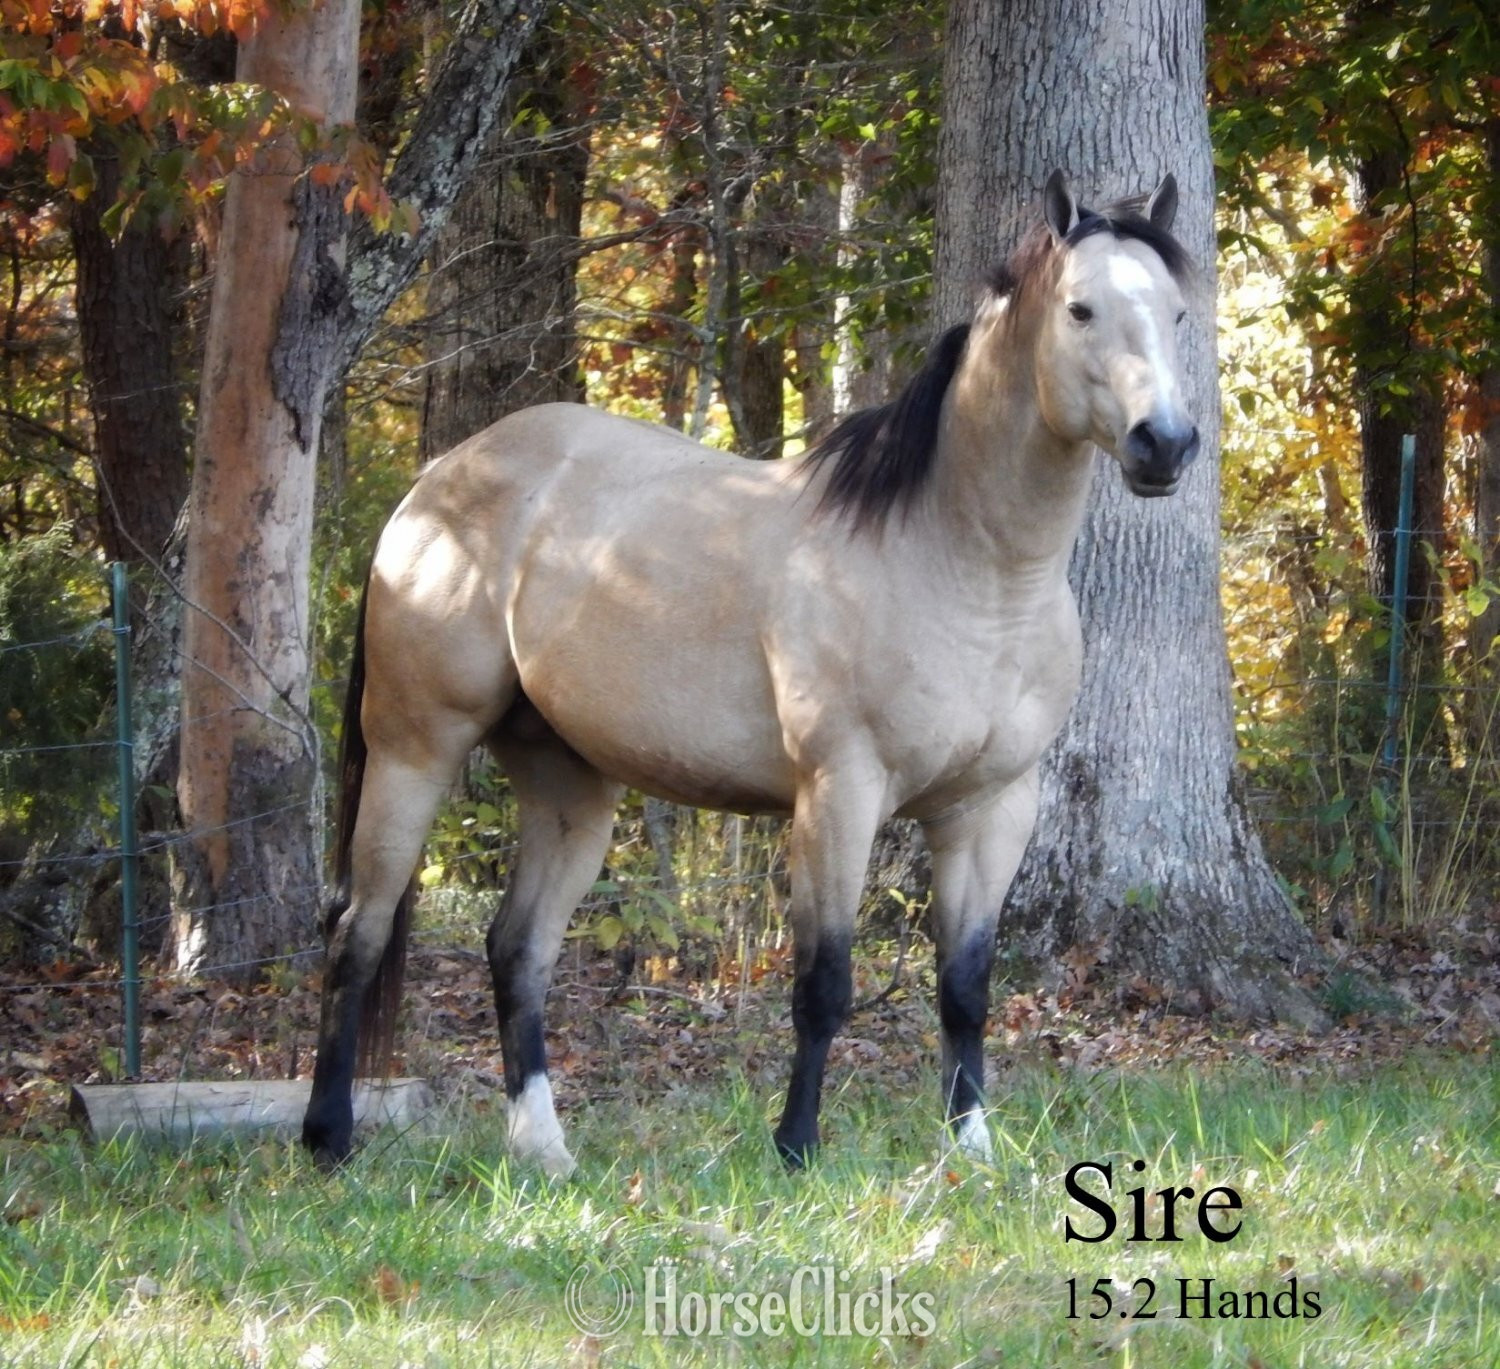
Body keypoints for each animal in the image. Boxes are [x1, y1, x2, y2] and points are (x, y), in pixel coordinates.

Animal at [301, 171, 1199, 1175]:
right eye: (1081, 309)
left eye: (1176, 311)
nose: (1165, 443)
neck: (969, 569)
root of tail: (435, 485)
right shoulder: (840, 793)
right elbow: (824, 983)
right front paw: (798, 1146)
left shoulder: (990, 808)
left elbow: (966, 984)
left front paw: (972, 1148)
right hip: (414, 751)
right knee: (359, 932)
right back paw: (328, 1137)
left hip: (569, 783)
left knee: (518, 950)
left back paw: (543, 1149)